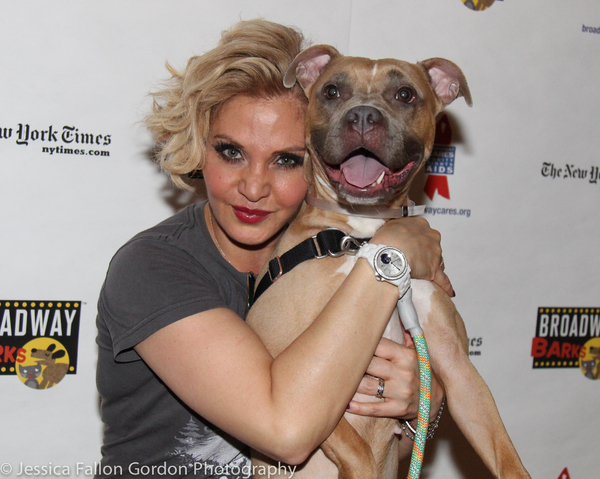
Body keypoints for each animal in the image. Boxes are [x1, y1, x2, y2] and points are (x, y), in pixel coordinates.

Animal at [246, 46, 528, 479]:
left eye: (405, 94)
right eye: (331, 90)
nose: (363, 116)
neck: (363, 236)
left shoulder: (459, 369)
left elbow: (505, 454)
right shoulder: (296, 379)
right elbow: (357, 450)